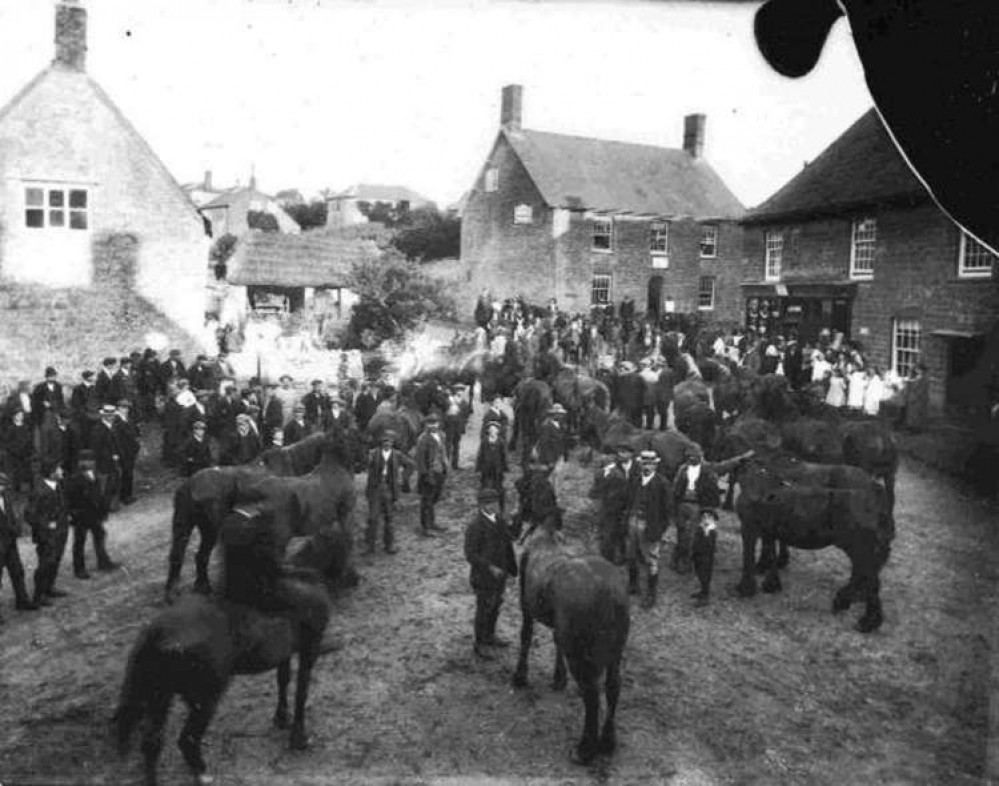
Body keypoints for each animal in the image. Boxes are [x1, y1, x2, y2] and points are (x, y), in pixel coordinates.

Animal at [112, 506, 348, 780]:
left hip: (160, 697)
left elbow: (284, 679)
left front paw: (281, 717)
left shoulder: (286, 652)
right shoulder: (310, 646)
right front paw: (298, 736)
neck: (303, 580)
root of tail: (157, 633)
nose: (353, 578)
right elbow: (302, 690)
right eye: (347, 544)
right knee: (186, 739)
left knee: (152, 744)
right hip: (204, 698)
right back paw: (202, 771)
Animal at [512, 480, 628, 764]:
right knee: (613, 687)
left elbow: (526, 635)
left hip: (583, 654)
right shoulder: (560, 627)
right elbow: (555, 642)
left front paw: (520, 675)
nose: (515, 521)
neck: (545, 534)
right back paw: (607, 741)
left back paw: (585, 748)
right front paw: (558, 677)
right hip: (615, 650)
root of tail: (611, 593)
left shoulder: (525, 604)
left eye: (521, 489)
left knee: (591, 694)